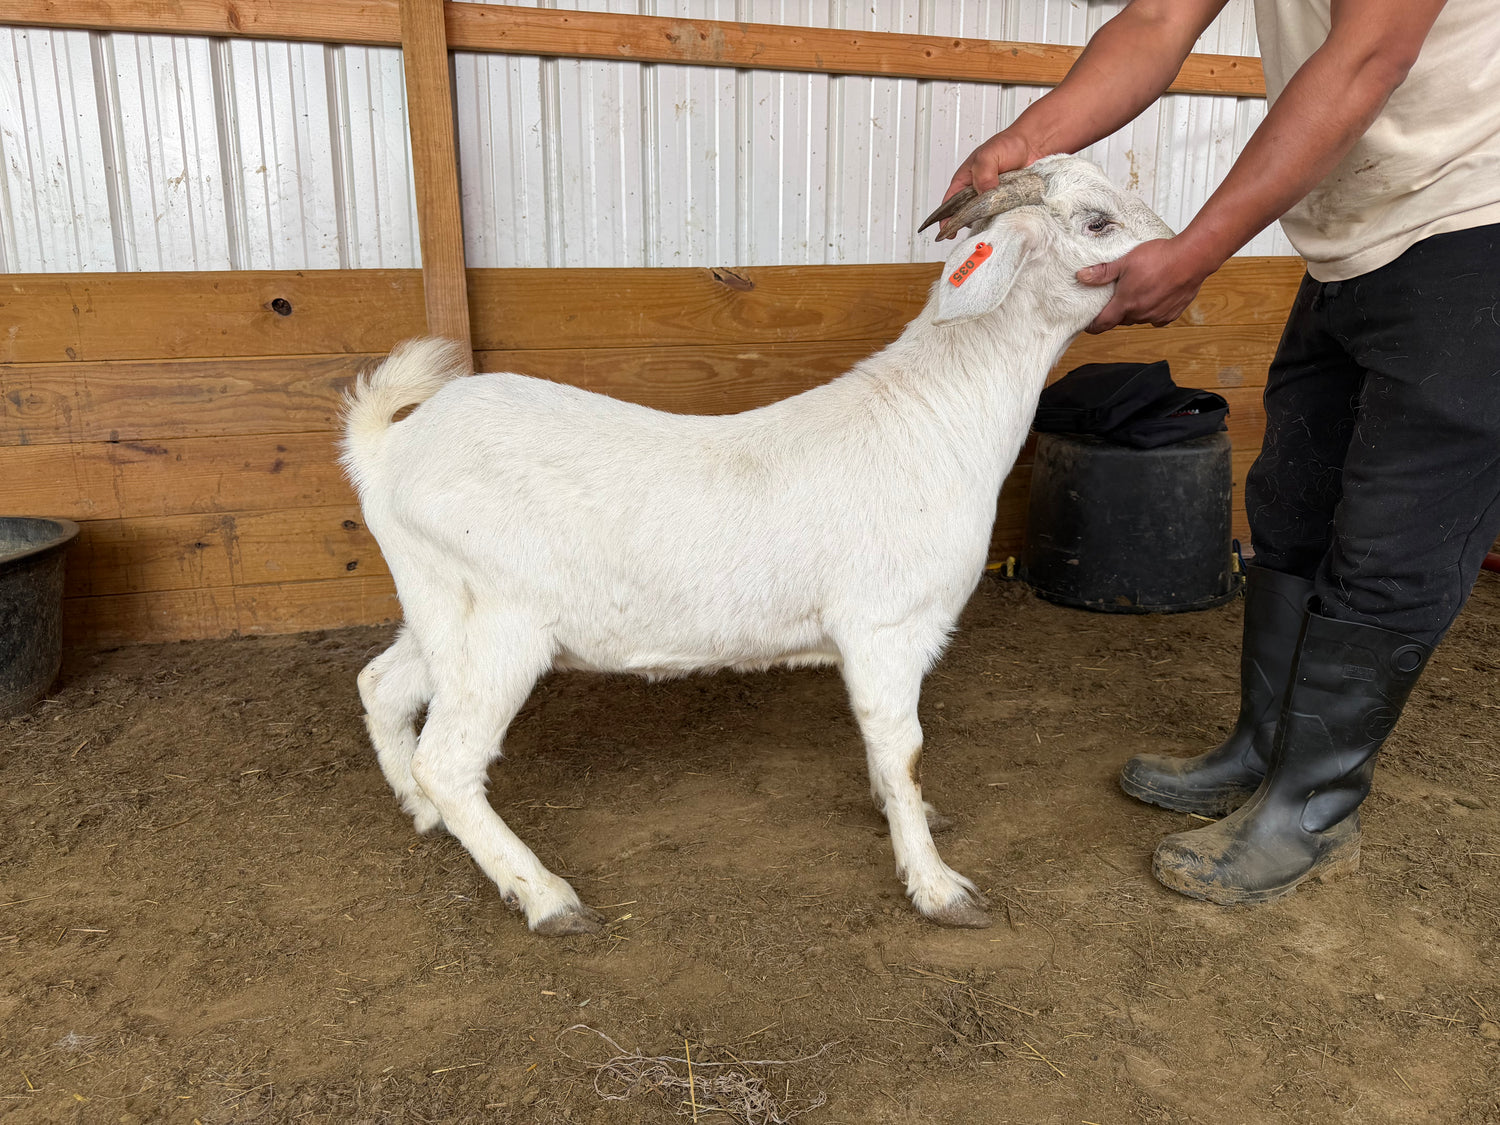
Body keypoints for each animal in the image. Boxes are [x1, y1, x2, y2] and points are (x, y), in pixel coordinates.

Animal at [342, 155, 1172, 935]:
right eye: (1096, 221)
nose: (1173, 255)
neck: (936, 416)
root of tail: (386, 450)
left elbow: (884, 750)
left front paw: (905, 819)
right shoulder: (887, 625)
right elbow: (902, 747)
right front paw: (936, 885)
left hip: (439, 610)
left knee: (381, 685)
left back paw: (419, 809)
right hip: (499, 625)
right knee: (450, 759)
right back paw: (543, 894)